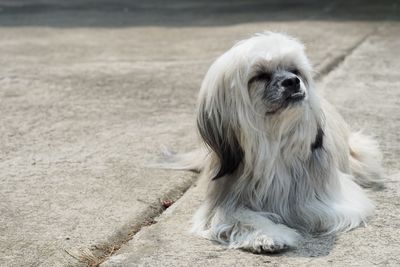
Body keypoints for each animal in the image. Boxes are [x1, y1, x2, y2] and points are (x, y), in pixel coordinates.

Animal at [164, 32, 382, 254]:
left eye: (295, 71)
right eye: (260, 75)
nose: (292, 81)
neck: (274, 143)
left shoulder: (330, 198)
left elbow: (300, 207)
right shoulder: (224, 201)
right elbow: (239, 215)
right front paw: (267, 235)